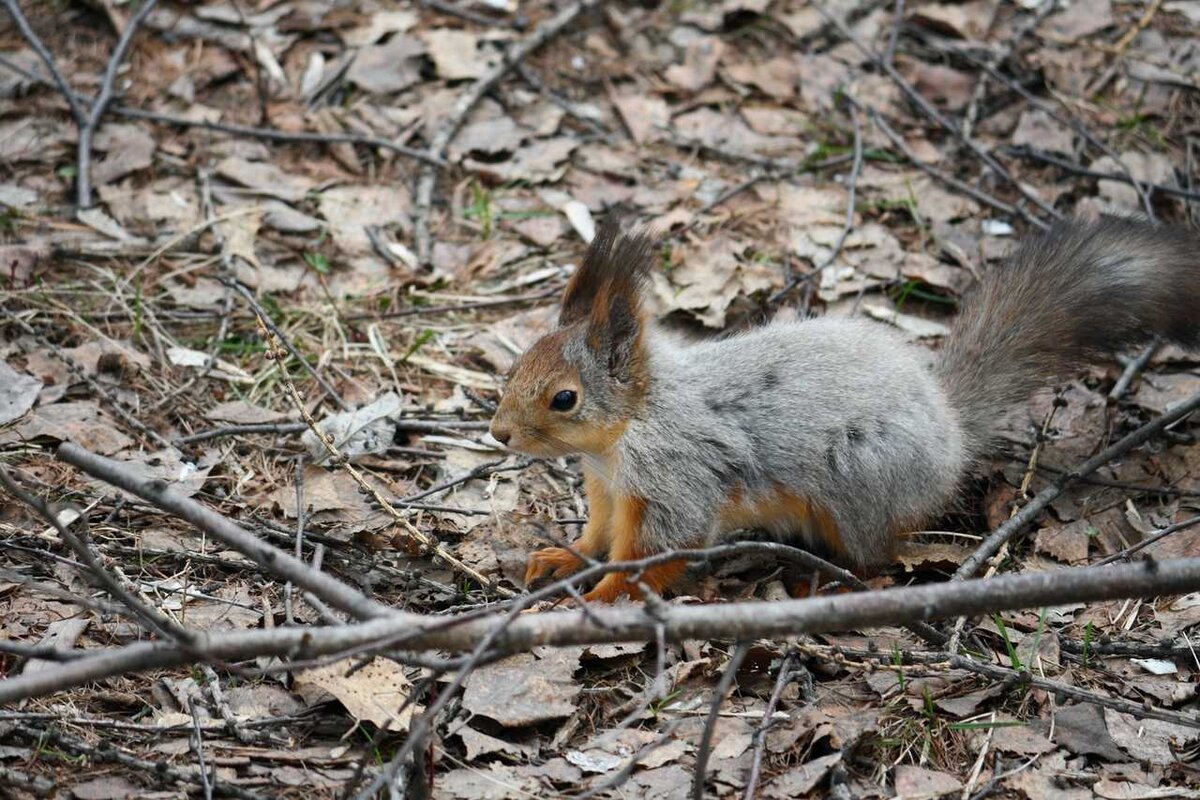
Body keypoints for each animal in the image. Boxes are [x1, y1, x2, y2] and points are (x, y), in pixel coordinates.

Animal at [487, 215, 1200, 604]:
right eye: (515, 365)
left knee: (877, 556)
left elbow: (656, 555)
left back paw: (828, 585)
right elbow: (602, 540)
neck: (629, 427)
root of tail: (950, 434)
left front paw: (598, 599)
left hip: (857, 480)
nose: (498, 434)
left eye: (564, 398)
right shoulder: (611, 492)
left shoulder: (675, 478)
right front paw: (566, 560)